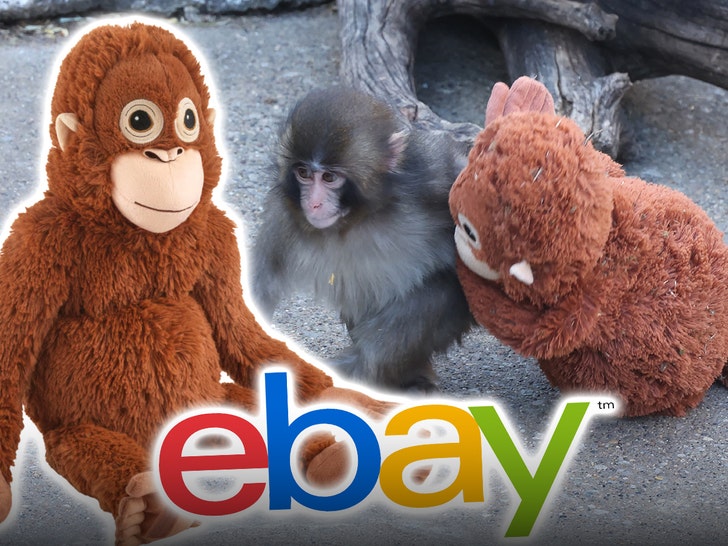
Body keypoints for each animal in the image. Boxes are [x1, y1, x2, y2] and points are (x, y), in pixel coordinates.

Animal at [251, 86, 474, 392]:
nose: (314, 204)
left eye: (329, 177)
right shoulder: (283, 216)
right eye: (303, 173)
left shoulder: (434, 179)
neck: (361, 217)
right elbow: (261, 285)